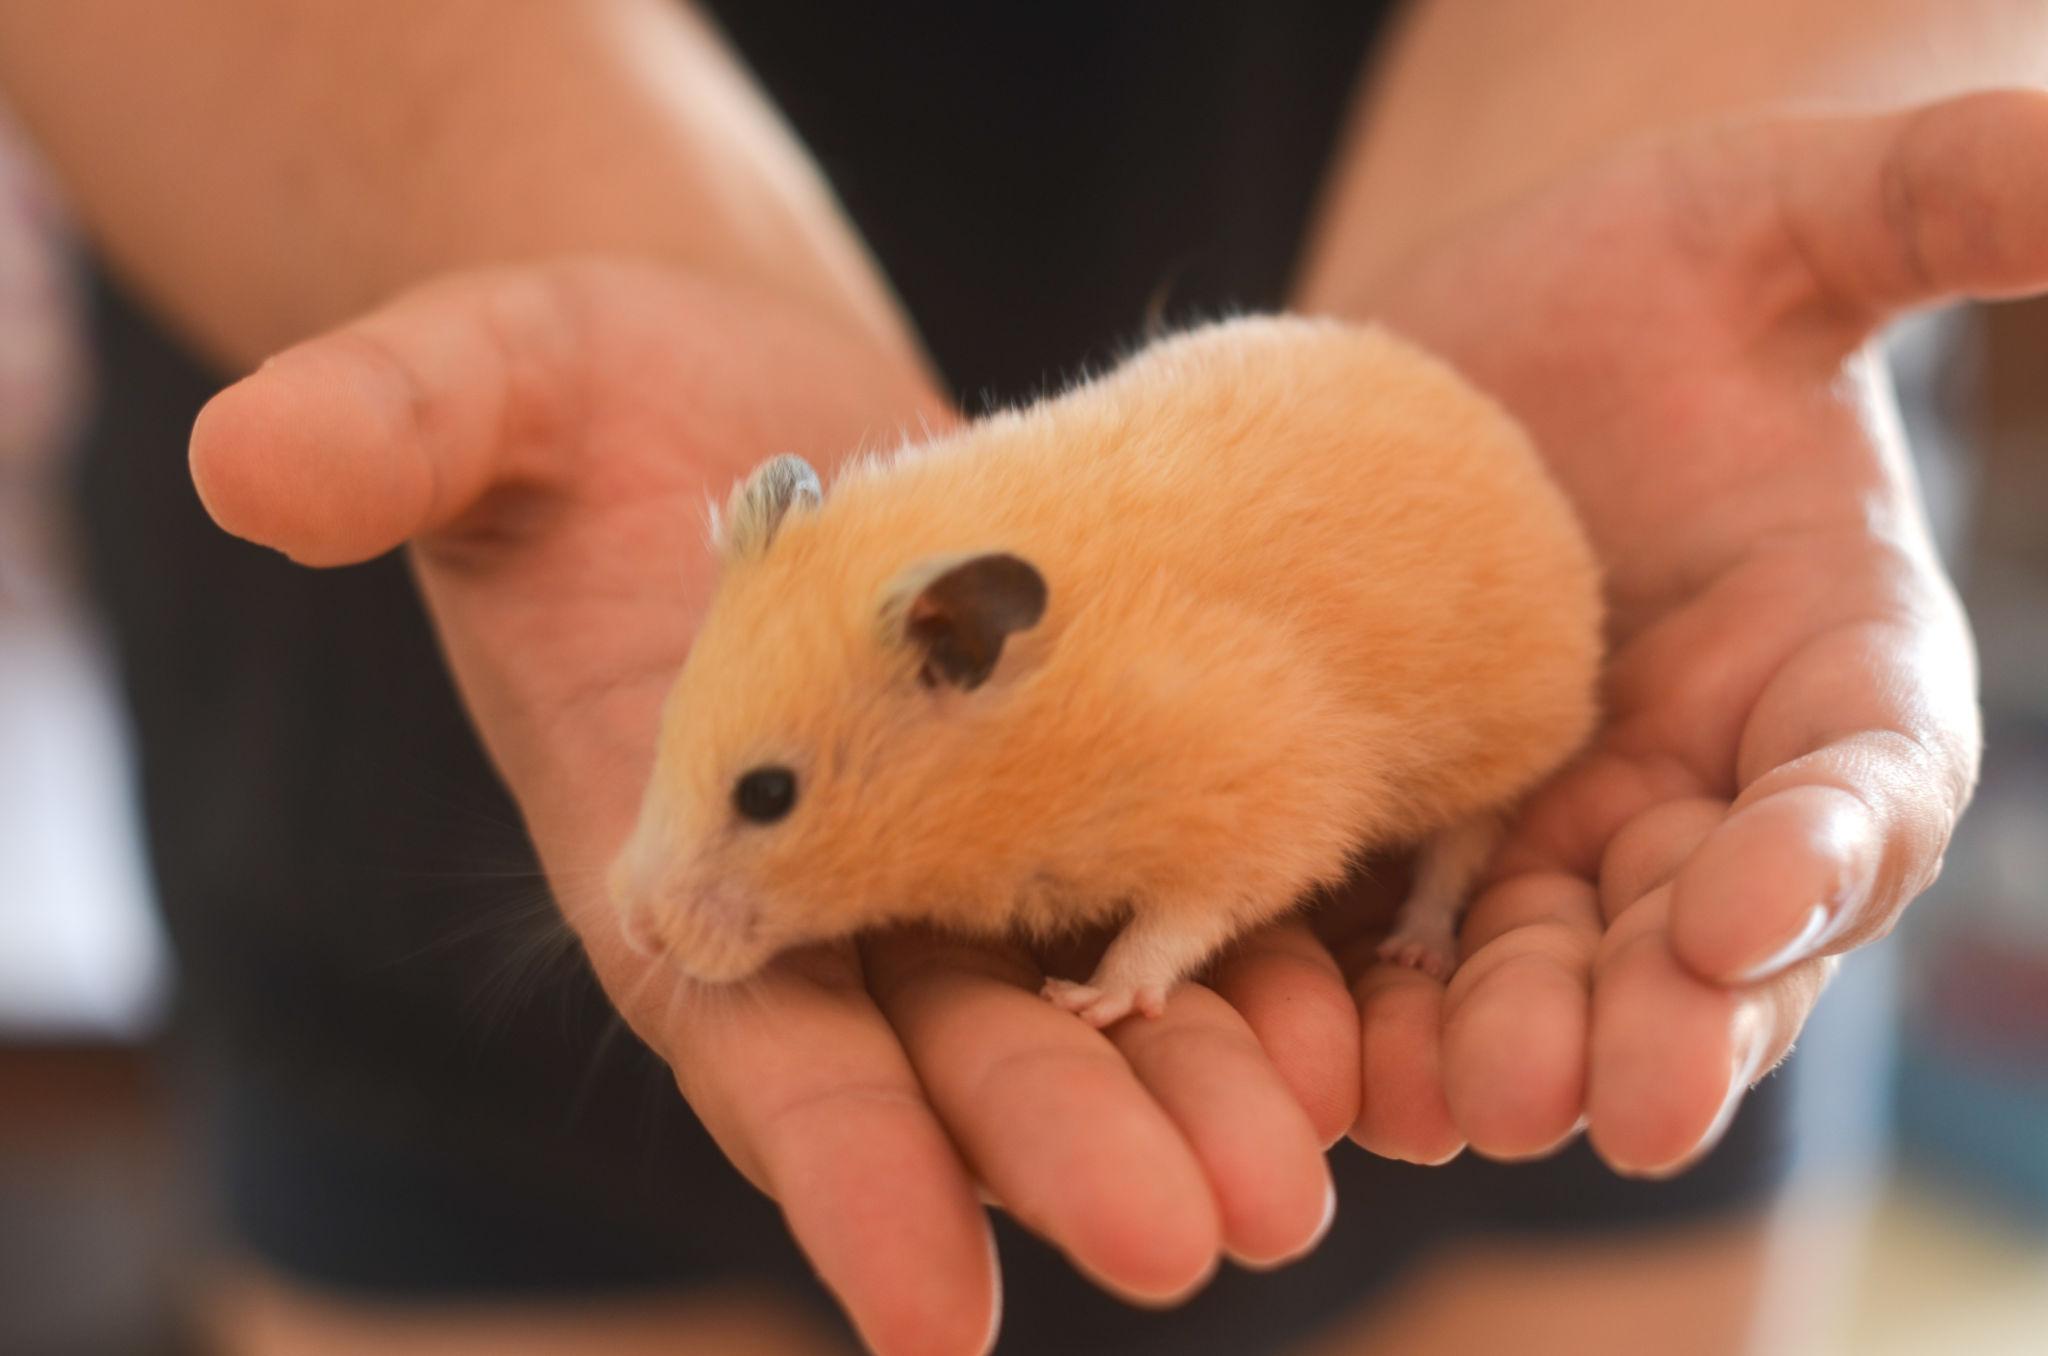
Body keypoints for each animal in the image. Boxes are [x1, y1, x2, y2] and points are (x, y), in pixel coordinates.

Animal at [609, 316, 1602, 1027]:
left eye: (768, 796)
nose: (634, 930)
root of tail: (1516, 449)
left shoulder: (1260, 799)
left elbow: (1180, 921)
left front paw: (1086, 1001)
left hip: (1499, 735)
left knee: (1462, 844)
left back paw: (1416, 949)